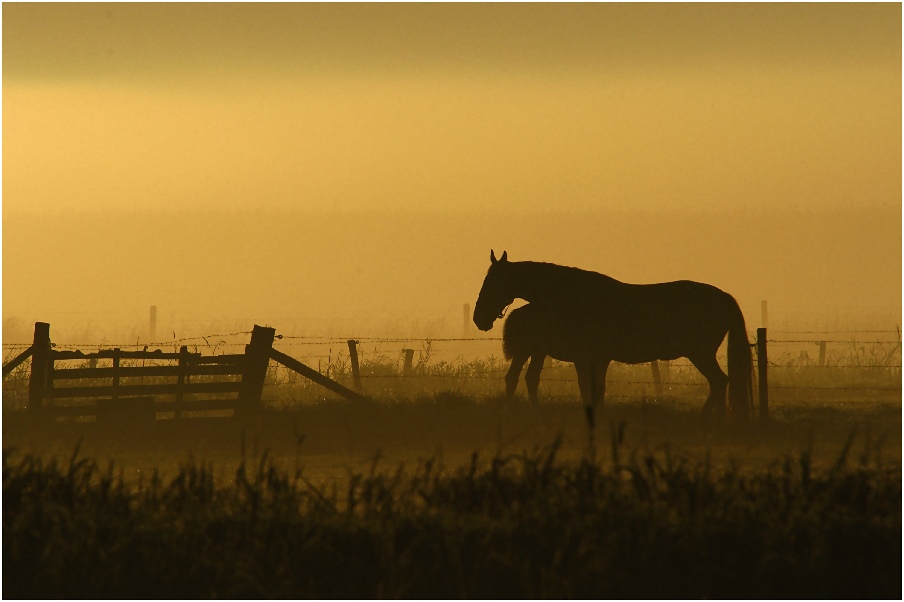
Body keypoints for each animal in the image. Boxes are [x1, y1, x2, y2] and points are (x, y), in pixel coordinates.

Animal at [476, 250, 752, 432]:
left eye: (492, 282)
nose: (478, 318)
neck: (574, 297)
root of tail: (725, 298)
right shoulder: (597, 358)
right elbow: (596, 391)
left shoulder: (585, 358)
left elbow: (589, 390)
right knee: (719, 382)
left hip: (700, 353)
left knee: (719, 382)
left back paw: (708, 421)